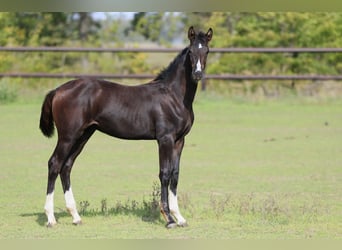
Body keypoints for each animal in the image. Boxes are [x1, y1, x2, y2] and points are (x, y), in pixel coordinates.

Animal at [38, 25, 212, 229]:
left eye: (206, 50)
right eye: (191, 51)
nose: (197, 74)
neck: (173, 96)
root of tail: (58, 90)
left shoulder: (179, 141)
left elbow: (175, 175)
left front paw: (180, 218)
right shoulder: (165, 139)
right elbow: (164, 174)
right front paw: (168, 219)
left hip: (83, 135)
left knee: (66, 166)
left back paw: (76, 216)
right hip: (67, 136)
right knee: (54, 164)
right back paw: (50, 218)